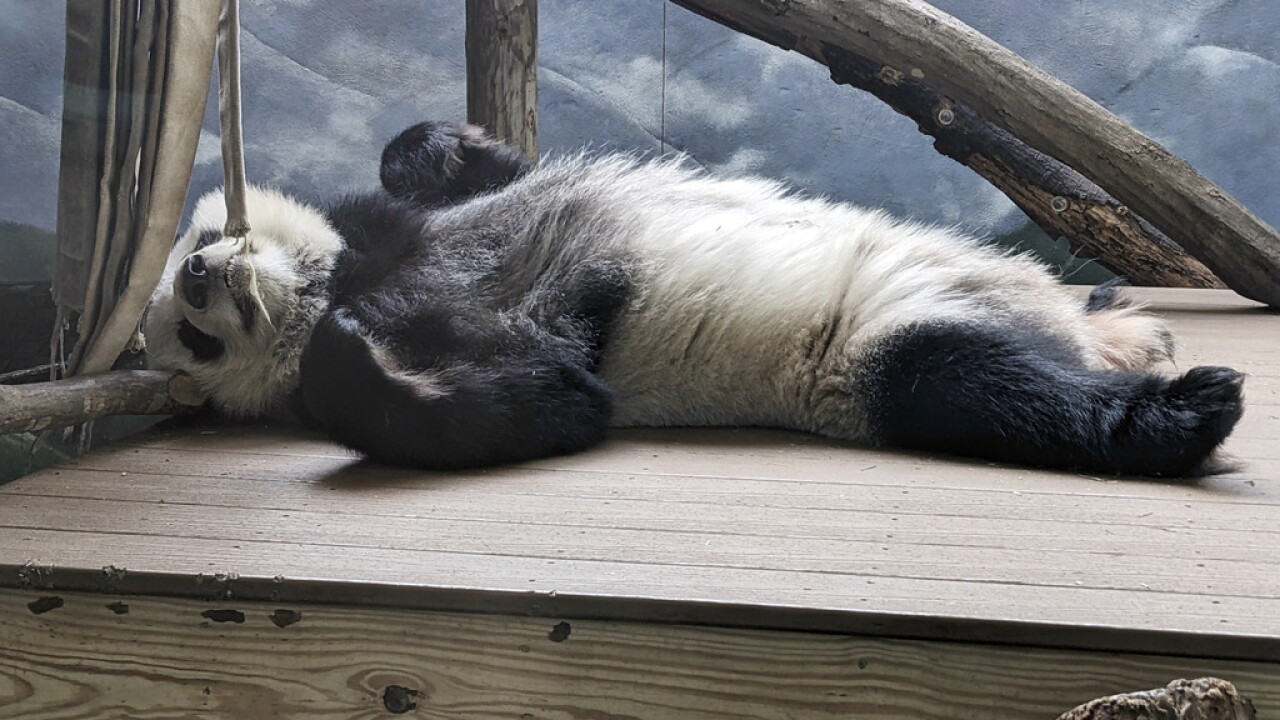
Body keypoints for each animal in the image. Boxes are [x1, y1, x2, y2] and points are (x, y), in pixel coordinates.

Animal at [144, 121, 1244, 477]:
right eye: (196, 346)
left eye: (195, 240)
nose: (199, 280)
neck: (354, 278)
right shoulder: (445, 327)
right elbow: (551, 397)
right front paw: (345, 355)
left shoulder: (401, 235)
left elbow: (462, 177)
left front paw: (441, 148)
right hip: (872, 349)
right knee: (980, 387)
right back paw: (1179, 411)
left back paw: (1125, 323)